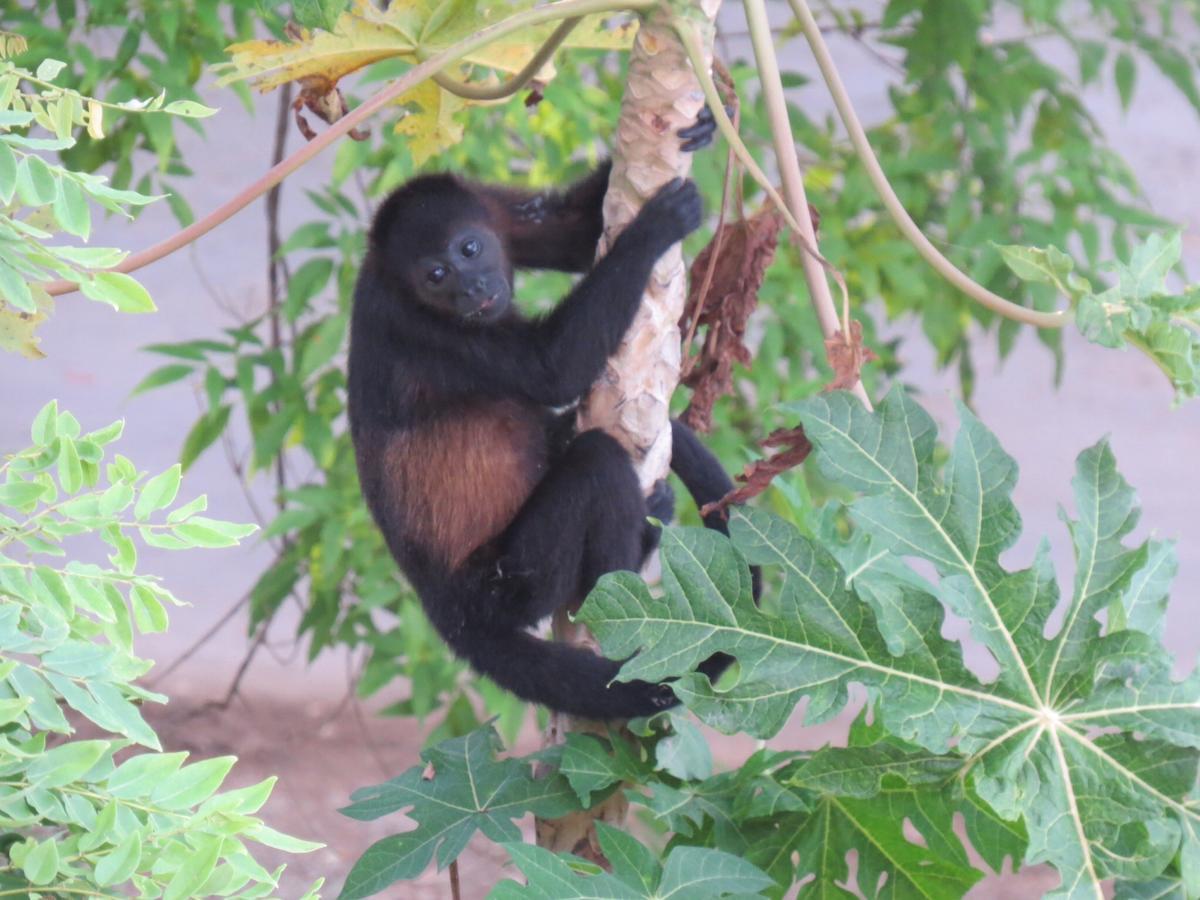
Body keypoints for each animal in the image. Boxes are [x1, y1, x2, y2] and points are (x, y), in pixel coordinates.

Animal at [348, 114, 748, 720]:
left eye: (470, 248)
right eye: (435, 275)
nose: (472, 288)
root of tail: (446, 609)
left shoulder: (490, 205)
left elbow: (571, 233)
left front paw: (709, 120)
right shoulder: (421, 327)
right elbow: (552, 367)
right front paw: (654, 228)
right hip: (512, 583)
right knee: (596, 462)